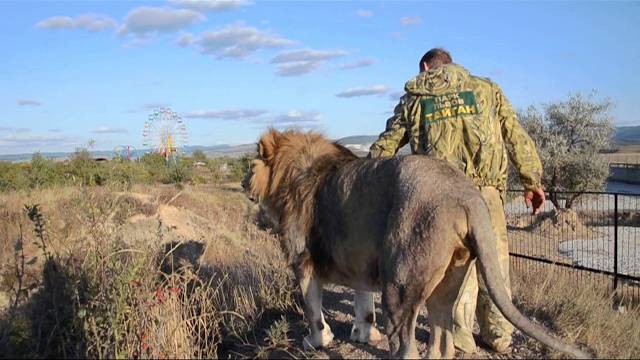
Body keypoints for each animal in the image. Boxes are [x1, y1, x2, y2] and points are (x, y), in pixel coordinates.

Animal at [242, 128, 592, 358]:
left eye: (250, 165)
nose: (244, 183)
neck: (289, 172)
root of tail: (466, 194)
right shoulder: (358, 262)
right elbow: (363, 307)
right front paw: (364, 336)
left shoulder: (302, 261)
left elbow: (313, 310)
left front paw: (317, 341)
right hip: (449, 281)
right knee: (441, 340)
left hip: (400, 284)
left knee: (406, 345)